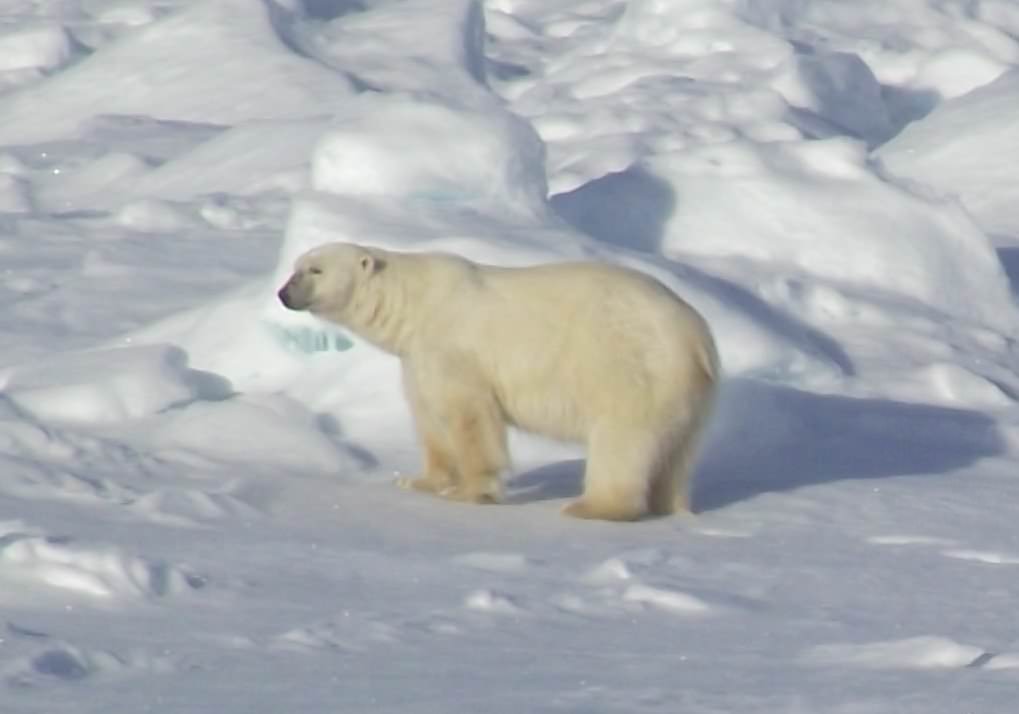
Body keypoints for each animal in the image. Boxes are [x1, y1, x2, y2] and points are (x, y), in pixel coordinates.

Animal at [279, 242, 721, 521]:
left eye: (315, 269)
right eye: (294, 267)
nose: (284, 293)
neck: (415, 304)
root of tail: (697, 337)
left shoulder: (454, 347)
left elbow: (469, 416)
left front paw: (472, 492)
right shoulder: (418, 357)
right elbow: (430, 416)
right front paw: (420, 481)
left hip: (631, 371)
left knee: (622, 441)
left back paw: (592, 507)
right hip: (689, 395)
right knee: (677, 453)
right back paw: (671, 505)